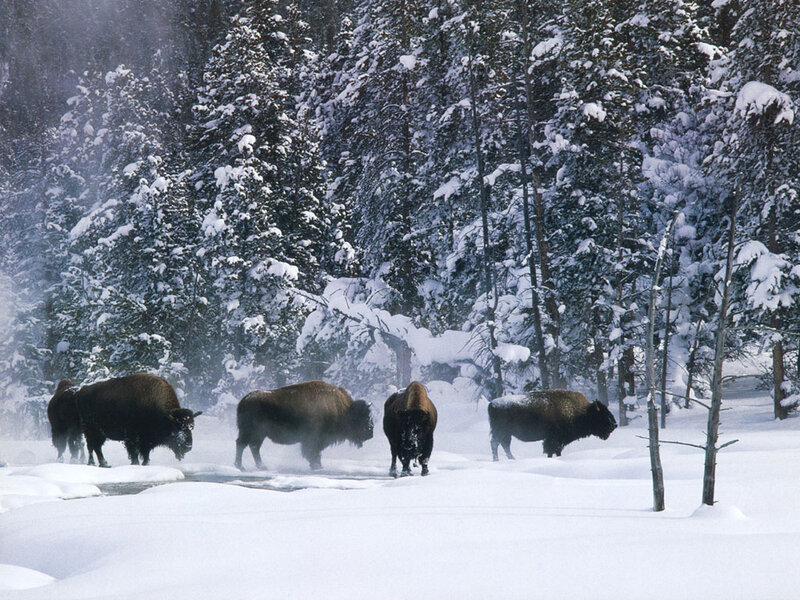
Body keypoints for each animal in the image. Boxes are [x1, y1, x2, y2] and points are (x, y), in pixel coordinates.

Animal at [71, 372, 201, 467]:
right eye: (178, 427)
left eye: (191, 427)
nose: (188, 446)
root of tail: (81, 391)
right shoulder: (132, 436)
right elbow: (134, 452)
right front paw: (136, 463)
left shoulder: (146, 440)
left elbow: (145, 453)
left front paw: (145, 463)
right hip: (91, 430)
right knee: (92, 446)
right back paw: (95, 463)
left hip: (99, 433)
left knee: (96, 447)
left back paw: (104, 464)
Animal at [235, 380, 373, 471]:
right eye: (364, 417)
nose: (370, 433)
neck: (343, 410)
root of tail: (245, 399)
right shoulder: (314, 439)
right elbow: (313, 452)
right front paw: (317, 466)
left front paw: (318, 465)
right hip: (252, 432)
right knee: (243, 444)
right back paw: (241, 466)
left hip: (259, 434)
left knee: (253, 447)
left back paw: (261, 466)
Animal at [488, 389, 617, 459]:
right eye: (602, 414)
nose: (614, 425)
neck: (582, 412)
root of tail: (491, 404)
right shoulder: (554, 439)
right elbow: (552, 450)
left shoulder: (556, 440)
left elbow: (555, 451)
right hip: (501, 432)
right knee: (496, 444)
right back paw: (498, 460)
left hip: (507, 434)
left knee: (504, 445)